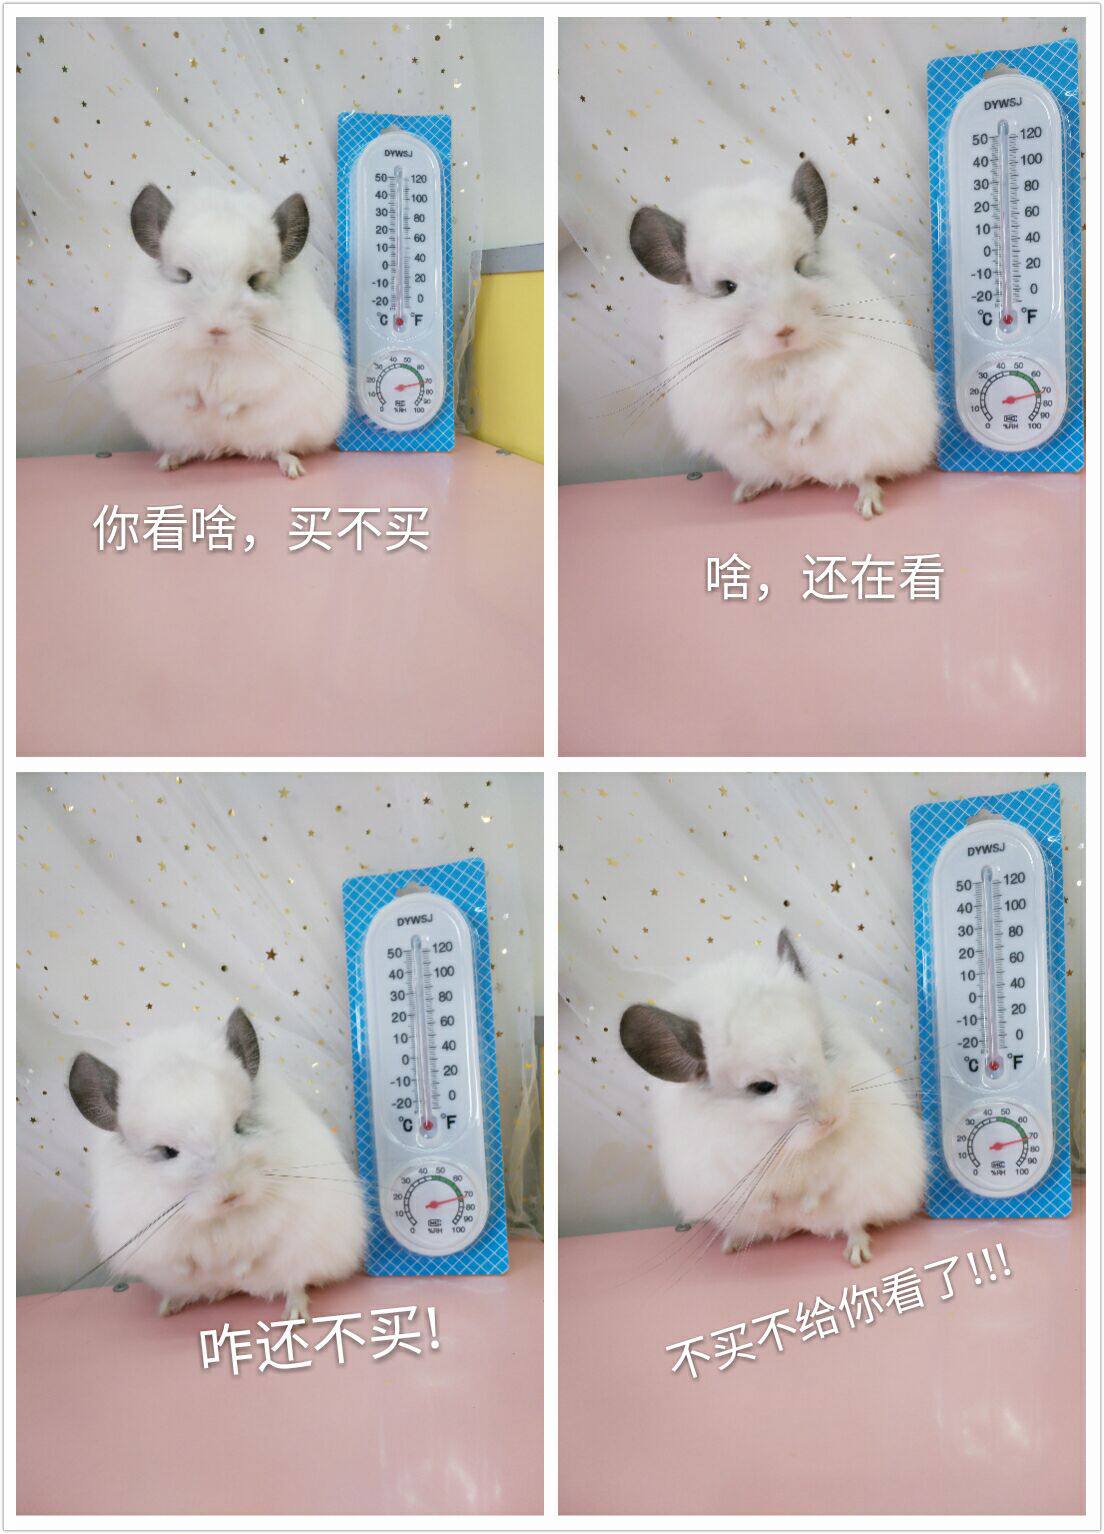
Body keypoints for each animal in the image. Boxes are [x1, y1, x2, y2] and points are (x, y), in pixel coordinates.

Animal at [67, 1008, 367, 1321]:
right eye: (168, 1152)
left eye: (239, 1126)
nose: (231, 1194)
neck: (221, 1218)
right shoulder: (150, 1235)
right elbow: (182, 1260)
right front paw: (195, 1271)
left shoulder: (275, 1219)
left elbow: (254, 1250)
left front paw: (239, 1270)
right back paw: (173, 1306)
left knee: (294, 1284)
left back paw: (293, 1315)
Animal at [109, 183, 349, 477]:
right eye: (185, 275)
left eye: (254, 281)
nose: (217, 327)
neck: (217, 352)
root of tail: (228, 447)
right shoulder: (160, 365)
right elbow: (183, 389)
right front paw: (197, 407)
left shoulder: (268, 373)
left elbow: (244, 395)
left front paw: (223, 412)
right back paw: (170, 461)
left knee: (277, 448)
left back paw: (291, 467)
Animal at [620, 930, 926, 1266]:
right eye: (762, 1086)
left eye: (824, 1049)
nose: (829, 1119)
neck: (787, 1146)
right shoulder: (726, 1172)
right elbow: (761, 1197)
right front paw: (777, 1205)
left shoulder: (840, 1164)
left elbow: (820, 1186)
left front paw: (806, 1206)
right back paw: (736, 1243)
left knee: (853, 1222)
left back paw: (853, 1251)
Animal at [628, 161, 939, 518]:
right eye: (728, 287)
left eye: (800, 267)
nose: (785, 329)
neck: (781, 359)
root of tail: (812, 474)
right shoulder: (724, 397)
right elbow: (750, 418)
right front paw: (768, 436)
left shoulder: (833, 379)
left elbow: (813, 412)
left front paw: (796, 440)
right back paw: (746, 491)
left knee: (863, 473)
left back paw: (867, 504)